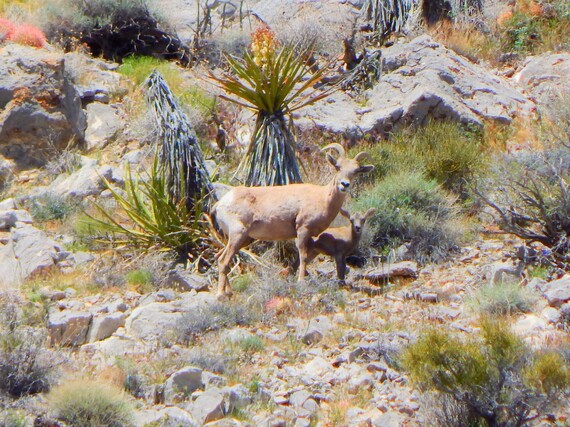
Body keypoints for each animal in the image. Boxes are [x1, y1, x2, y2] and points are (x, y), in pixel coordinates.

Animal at [210, 144, 372, 298]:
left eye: (356, 171)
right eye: (337, 166)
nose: (344, 184)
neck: (323, 198)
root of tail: (219, 204)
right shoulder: (303, 230)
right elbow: (303, 256)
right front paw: (301, 281)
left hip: (242, 239)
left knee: (220, 258)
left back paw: (228, 292)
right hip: (238, 235)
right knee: (223, 261)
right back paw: (220, 295)